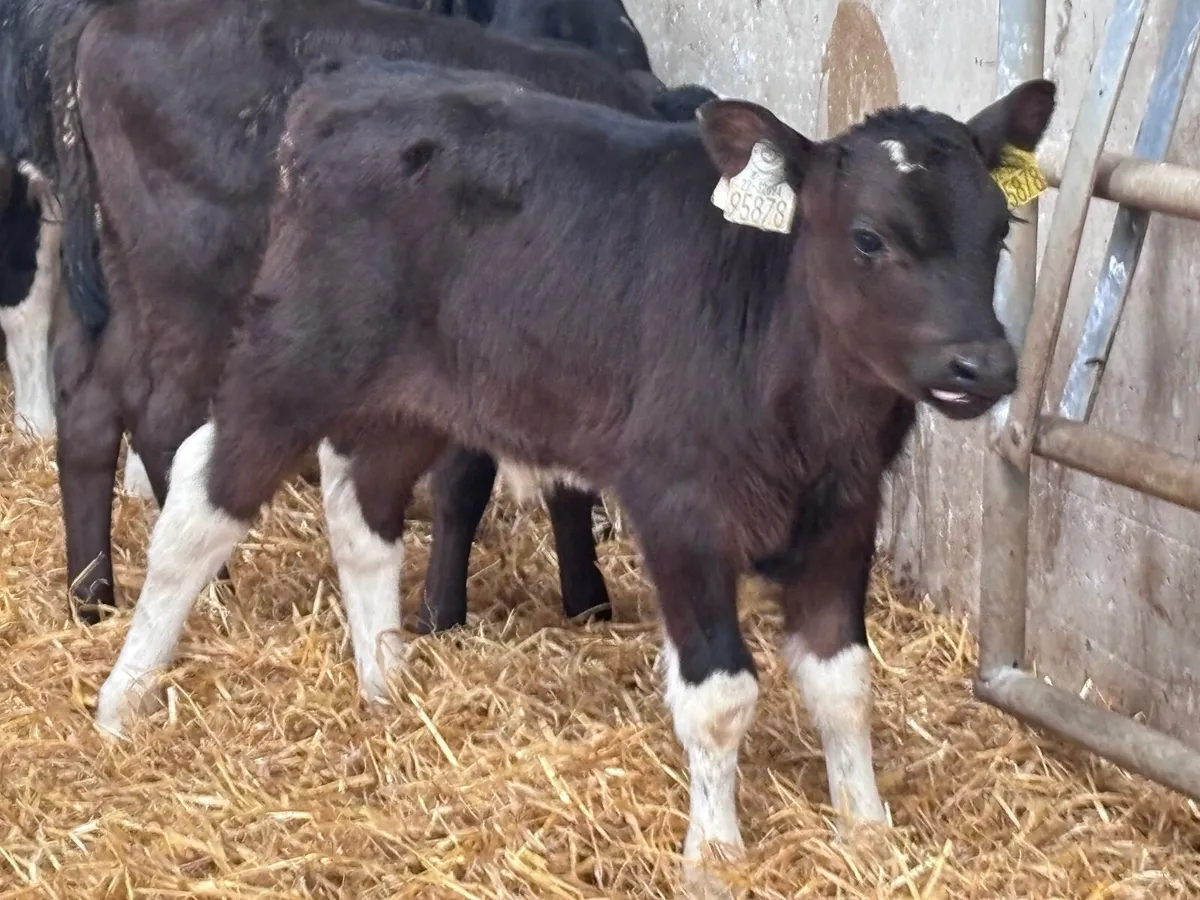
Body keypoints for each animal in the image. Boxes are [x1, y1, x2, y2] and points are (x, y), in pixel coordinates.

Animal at [47, 0, 712, 632]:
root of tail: (106, 20)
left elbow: (563, 482)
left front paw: (586, 601)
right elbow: (466, 480)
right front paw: (442, 614)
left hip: (122, 270)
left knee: (90, 405)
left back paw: (91, 595)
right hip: (193, 276)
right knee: (162, 418)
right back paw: (211, 587)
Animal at [85, 57, 1056, 896]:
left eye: (999, 233)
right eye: (868, 237)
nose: (982, 365)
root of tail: (342, 92)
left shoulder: (846, 518)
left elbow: (844, 684)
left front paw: (868, 832)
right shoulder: (680, 506)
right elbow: (721, 697)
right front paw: (715, 857)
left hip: (416, 394)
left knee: (362, 507)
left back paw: (386, 689)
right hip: (295, 350)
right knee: (201, 500)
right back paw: (119, 704)